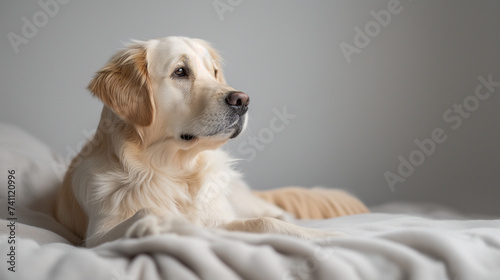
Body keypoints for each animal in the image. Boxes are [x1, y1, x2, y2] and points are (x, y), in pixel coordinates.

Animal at [55, 35, 344, 247]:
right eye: (180, 72)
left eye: (214, 72)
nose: (243, 100)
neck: (177, 171)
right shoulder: (96, 238)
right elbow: (148, 211)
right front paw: (161, 224)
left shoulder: (221, 219)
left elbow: (265, 222)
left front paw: (328, 236)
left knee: (274, 211)